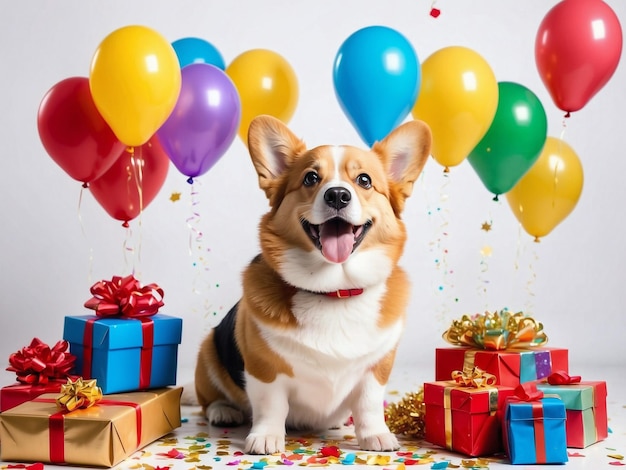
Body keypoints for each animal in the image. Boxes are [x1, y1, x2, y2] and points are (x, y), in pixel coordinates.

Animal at [195, 114, 428, 456]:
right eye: (310, 178)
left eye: (364, 180)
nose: (337, 195)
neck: (334, 290)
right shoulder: (265, 368)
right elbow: (271, 405)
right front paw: (266, 437)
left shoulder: (376, 368)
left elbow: (369, 404)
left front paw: (375, 435)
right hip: (208, 351)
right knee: (209, 399)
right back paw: (223, 410)